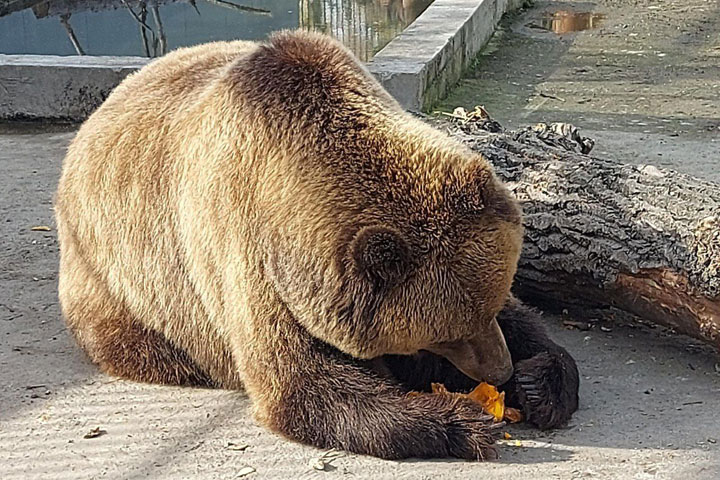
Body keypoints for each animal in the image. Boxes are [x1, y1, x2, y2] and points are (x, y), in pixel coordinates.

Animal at [54, 31, 580, 462]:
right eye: (450, 331)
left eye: (491, 303)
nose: (501, 368)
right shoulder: (249, 257)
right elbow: (302, 384)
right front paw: (463, 421)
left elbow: (526, 321)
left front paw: (541, 381)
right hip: (122, 285)